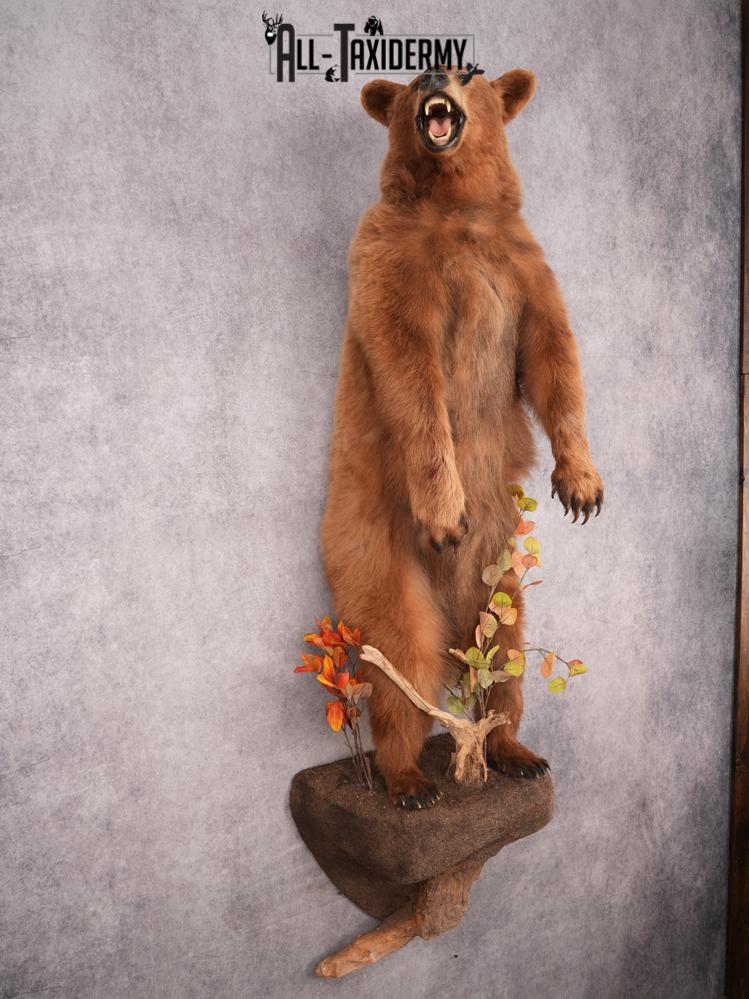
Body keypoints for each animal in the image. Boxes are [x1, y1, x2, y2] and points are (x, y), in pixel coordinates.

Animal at [320, 66, 603, 809]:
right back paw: (407, 778)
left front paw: (582, 484)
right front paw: (446, 511)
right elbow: (413, 379)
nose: (432, 75)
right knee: (401, 664)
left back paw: (514, 752)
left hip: (500, 576)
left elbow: (552, 357)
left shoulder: (524, 266)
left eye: (470, 71)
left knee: (505, 657)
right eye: (409, 80)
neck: (456, 210)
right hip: (375, 556)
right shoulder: (391, 262)